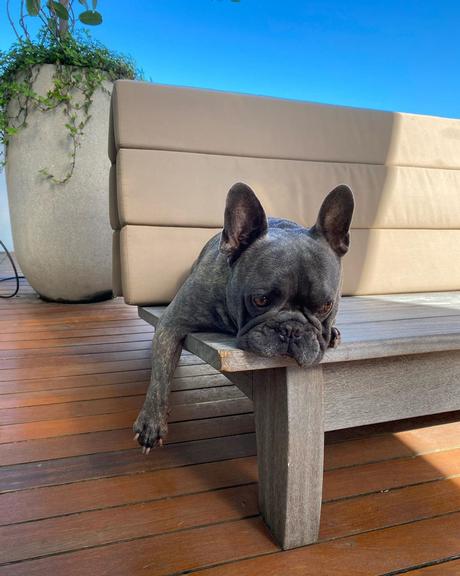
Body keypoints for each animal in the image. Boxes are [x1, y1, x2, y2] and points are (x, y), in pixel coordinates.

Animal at [135, 182, 354, 452]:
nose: (291, 329)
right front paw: (151, 422)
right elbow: (160, 375)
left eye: (325, 306)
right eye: (260, 300)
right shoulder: (172, 323)